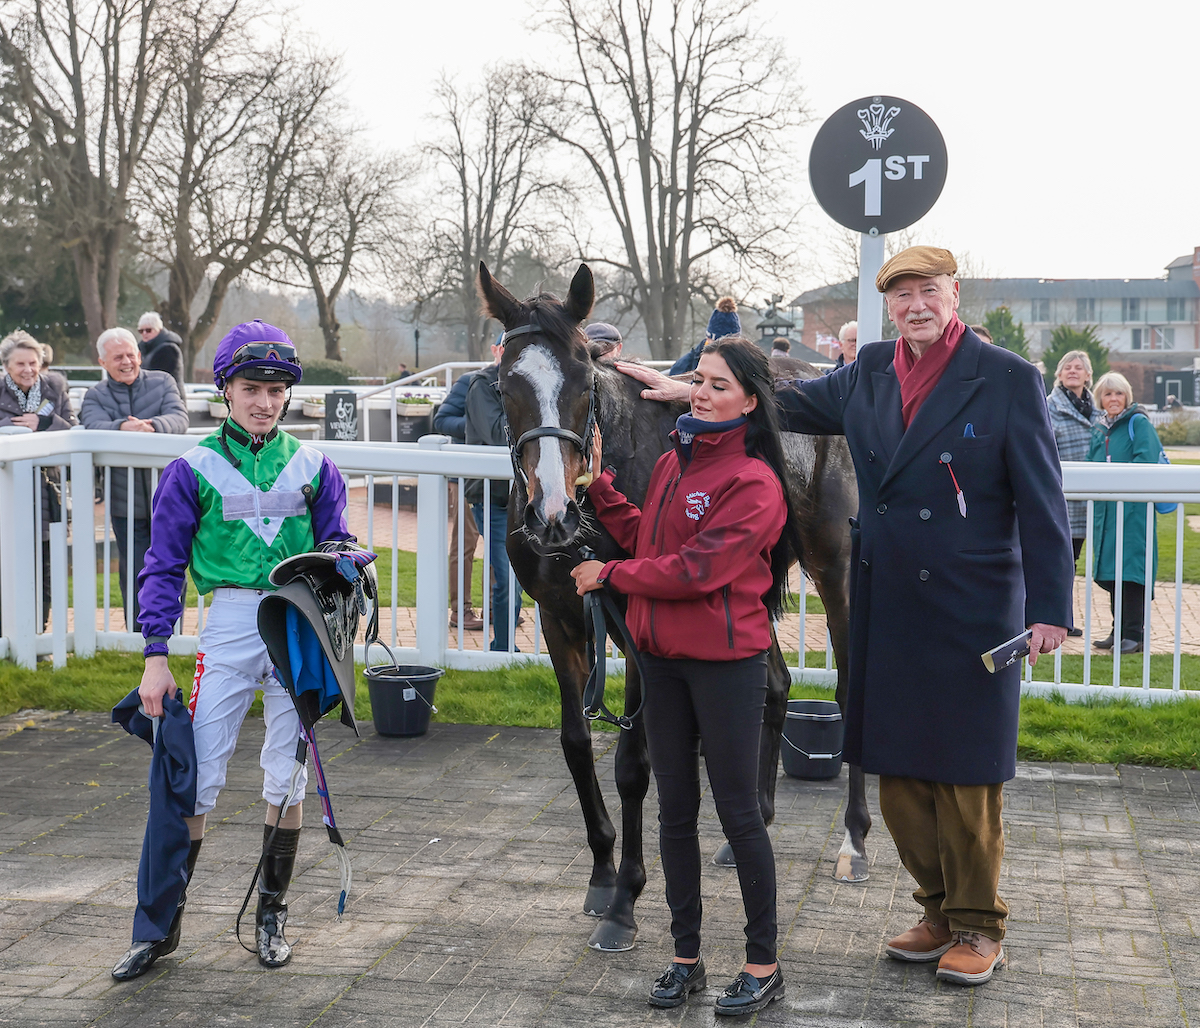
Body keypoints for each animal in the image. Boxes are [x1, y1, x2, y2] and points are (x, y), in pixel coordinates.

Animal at [477, 260, 873, 950]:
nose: (552, 516)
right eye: (505, 385)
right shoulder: (558, 617)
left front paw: (626, 899)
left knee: (847, 690)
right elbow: (576, 744)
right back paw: (753, 823)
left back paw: (853, 839)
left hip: (834, 566)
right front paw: (602, 872)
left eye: (583, 377)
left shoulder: (637, 620)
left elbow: (635, 763)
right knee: (774, 682)